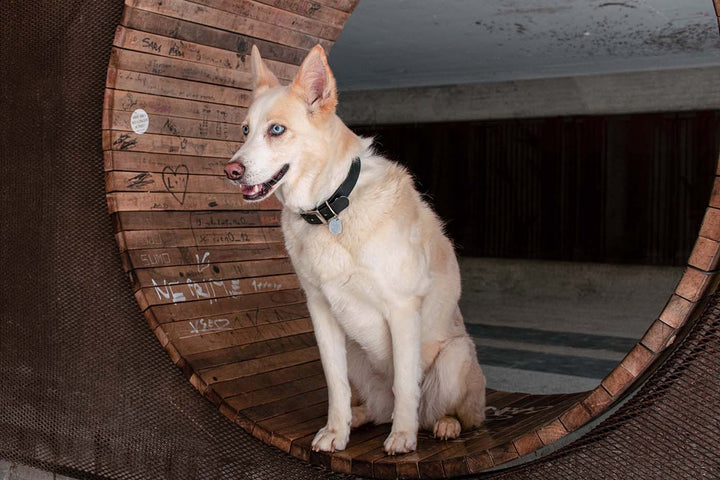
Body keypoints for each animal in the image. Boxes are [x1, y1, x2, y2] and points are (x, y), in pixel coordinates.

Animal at [222, 44, 486, 454]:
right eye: (245, 131)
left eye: (276, 130)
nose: (231, 171)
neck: (329, 208)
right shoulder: (321, 311)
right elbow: (336, 385)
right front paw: (336, 430)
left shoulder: (402, 308)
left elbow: (405, 384)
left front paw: (403, 438)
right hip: (357, 353)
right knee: (378, 408)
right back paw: (361, 418)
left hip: (454, 359)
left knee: (453, 413)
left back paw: (443, 425)